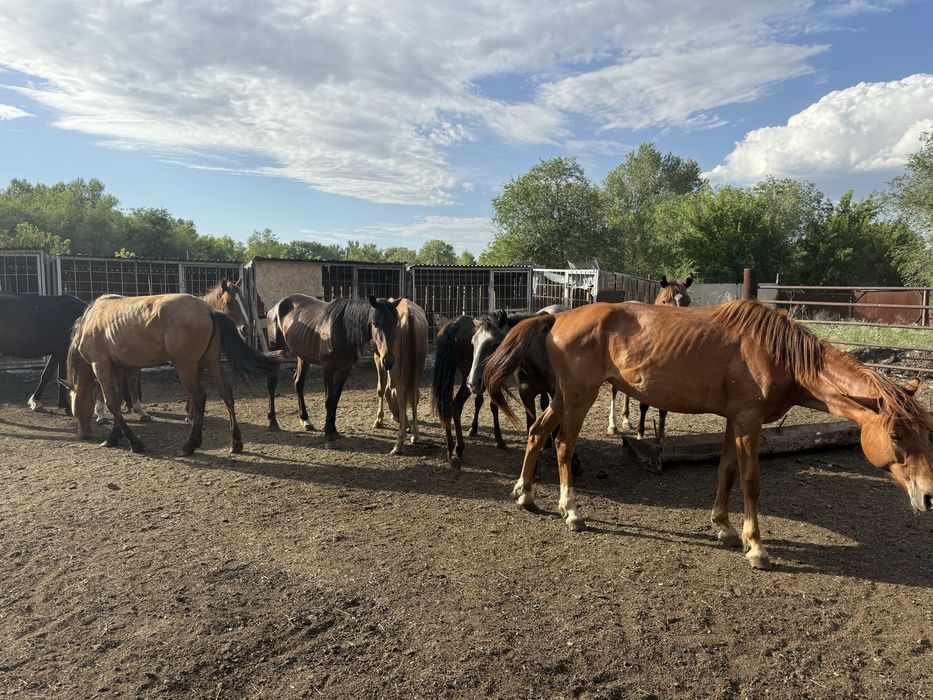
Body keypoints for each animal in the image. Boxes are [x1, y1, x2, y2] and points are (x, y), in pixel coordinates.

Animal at [63, 293, 278, 455]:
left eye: (75, 408)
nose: (84, 434)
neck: (91, 320)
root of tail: (208, 310)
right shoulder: (117, 368)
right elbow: (115, 400)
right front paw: (114, 436)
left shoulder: (101, 366)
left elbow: (112, 403)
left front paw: (134, 442)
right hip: (211, 362)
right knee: (226, 393)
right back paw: (236, 443)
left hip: (186, 367)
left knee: (200, 396)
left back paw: (190, 444)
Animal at [265, 294, 401, 448]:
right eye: (375, 323)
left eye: (395, 322)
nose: (388, 361)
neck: (343, 331)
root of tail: (276, 307)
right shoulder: (328, 369)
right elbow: (329, 400)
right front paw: (328, 435)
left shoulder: (345, 369)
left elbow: (336, 399)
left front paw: (333, 430)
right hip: (276, 351)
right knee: (272, 383)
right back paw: (273, 421)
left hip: (303, 355)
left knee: (298, 382)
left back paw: (305, 420)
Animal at [372, 298, 428, 455]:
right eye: (375, 323)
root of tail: (409, 314)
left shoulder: (380, 359)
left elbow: (382, 389)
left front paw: (379, 419)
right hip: (418, 365)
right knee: (414, 392)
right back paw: (415, 433)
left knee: (402, 393)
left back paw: (399, 443)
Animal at [484, 299, 933, 571]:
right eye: (896, 435)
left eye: (926, 431)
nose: (928, 496)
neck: (778, 354)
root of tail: (557, 317)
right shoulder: (750, 422)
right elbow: (751, 481)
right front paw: (756, 547)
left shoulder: (735, 420)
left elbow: (726, 471)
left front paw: (724, 527)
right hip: (579, 397)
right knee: (562, 445)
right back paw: (571, 511)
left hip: (562, 397)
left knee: (537, 434)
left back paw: (526, 494)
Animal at [608, 274, 693, 440]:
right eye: (665, 301)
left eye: (687, 301)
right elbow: (644, 404)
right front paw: (640, 434)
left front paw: (661, 434)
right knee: (614, 391)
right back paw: (613, 425)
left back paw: (626, 421)